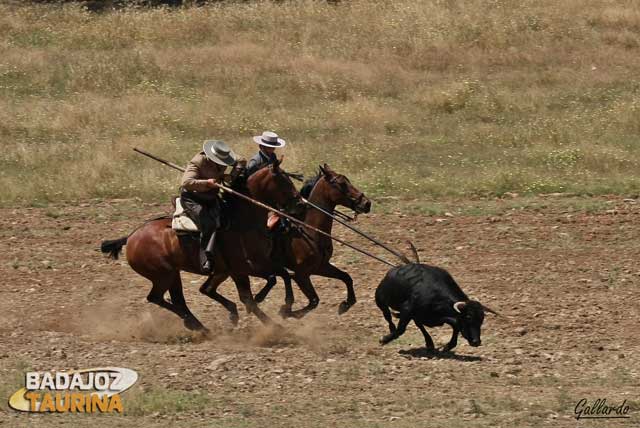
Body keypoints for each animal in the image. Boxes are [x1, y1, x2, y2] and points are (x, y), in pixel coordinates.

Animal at [100, 160, 304, 332]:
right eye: (283, 181)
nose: (299, 204)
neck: (242, 220)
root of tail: (131, 237)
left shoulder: (253, 265)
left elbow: (283, 275)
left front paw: (285, 307)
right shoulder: (243, 269)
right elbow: (255, 294)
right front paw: (275, 320)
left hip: (175, 275)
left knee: (180, 299)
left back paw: (200, 325)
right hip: (163, 276)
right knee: (157, 298)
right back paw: (196, 325)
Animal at [251, 164, 368, 318]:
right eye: (342, 184)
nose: (367, 203)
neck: (310, 230)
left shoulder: (320, 267)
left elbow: (346, 277)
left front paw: (346, 304)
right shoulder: (301, 275)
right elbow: (314, 301)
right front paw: (285, 311)